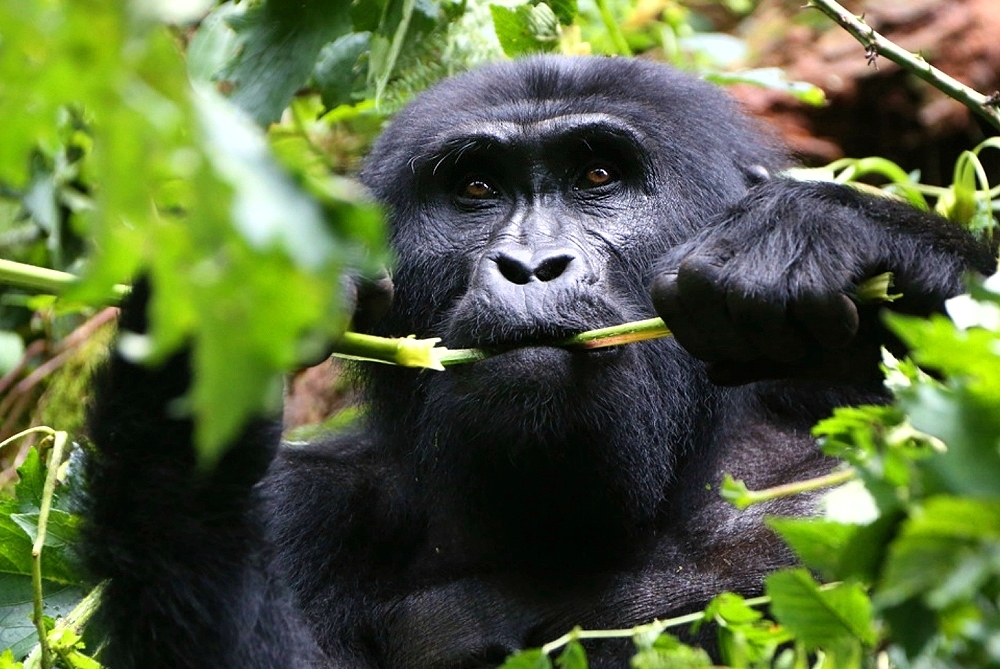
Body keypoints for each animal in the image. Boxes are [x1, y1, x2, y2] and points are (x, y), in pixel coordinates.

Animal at [82, 53, 996, 668]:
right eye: (476, 189)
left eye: (597, 174)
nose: (529, 266)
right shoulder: (310, 503)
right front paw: (199, 335)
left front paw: (833, 227)